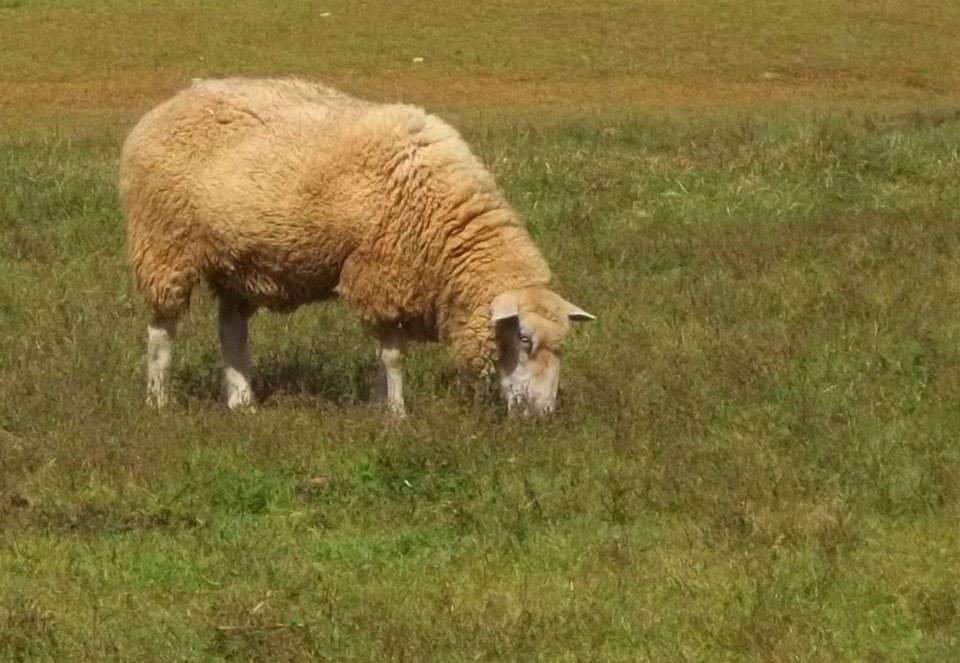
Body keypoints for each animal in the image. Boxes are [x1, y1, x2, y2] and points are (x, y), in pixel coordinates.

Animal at [120, 78, 592, 416]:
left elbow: (384, 357)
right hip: (165, 245)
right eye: (525, 340)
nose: (543, 414)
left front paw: (380, 404)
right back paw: (158, 400)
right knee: (161, 330)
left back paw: (242, 402)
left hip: (238, 261)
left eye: (563, 346)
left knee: (232, 331)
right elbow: (393, 356)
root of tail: (167, 105)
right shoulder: (379, 275)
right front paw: (396, 413)